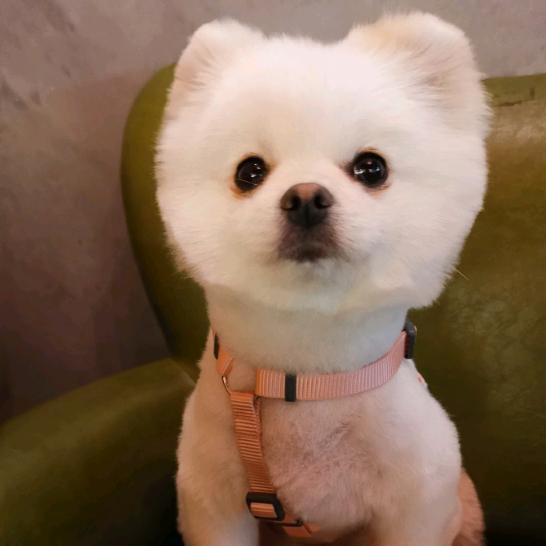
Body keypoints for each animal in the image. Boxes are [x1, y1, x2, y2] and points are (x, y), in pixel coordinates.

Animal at [156, 12, 489, 546]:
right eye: (250, 172)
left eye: (371, 168)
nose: (306, 197)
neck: (306, 381)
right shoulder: (214, 496)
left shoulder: (417, 498)